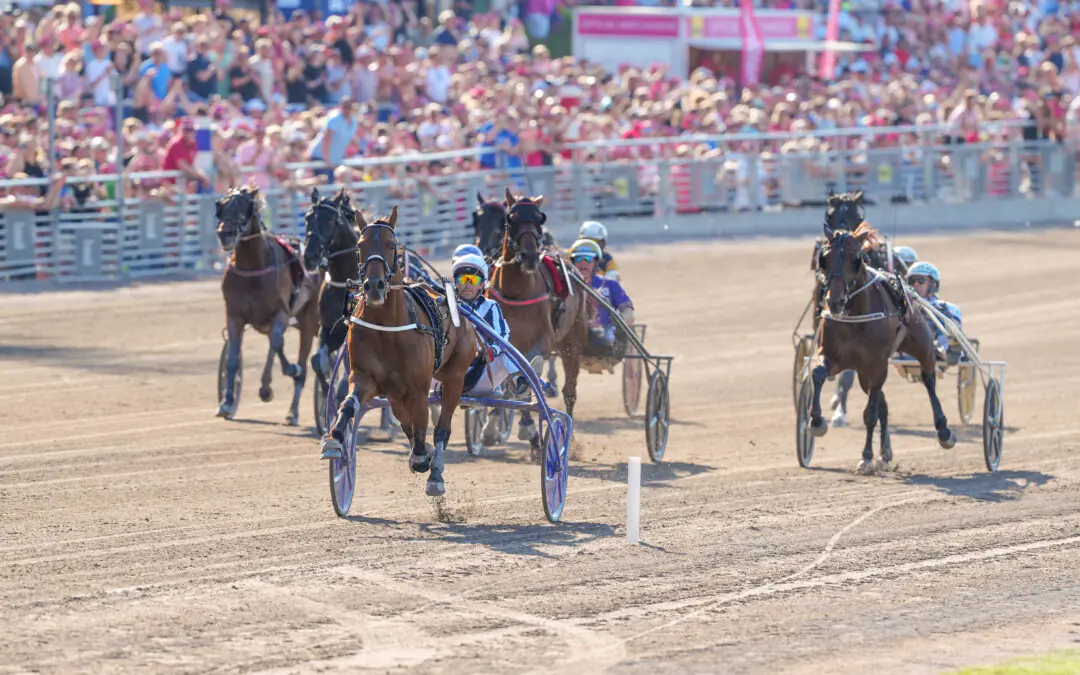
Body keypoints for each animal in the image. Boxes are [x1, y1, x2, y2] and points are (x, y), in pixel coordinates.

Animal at [214, 186, 319, 423]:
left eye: (242, 208)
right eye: (222, 206)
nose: (224, 234)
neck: (253, 267)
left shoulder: (281, 312)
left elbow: (279, 344)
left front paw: (291, 369)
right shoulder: (234, 316)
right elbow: (233, 358)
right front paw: (227, 402)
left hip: (308, 319)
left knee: (299, 360)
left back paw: (293, 411)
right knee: (272, 345)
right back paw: (265, 388)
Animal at [317, 205, 475, 494]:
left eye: (392, 246)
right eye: (360, 244)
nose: (373, 286)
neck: (386, 327)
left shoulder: (418, 389)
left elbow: (423, 426)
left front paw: (423, 459)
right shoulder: (365, 378)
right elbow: (348, 403)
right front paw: (334, 439)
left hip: (455, 376)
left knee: (442, 428)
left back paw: (435, 473)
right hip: (394, 393)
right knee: (405, 421)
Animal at [812, 194, 959, 470]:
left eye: (856, 258)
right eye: (824, 258)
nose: (834, 301)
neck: (855, 316)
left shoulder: (878, 363)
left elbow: (870, 413)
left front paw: (867, 456)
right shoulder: (834, 356)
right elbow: (817, 374)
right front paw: (817, 422)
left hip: (921, 344)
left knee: (928, 379)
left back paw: (943, 431)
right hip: (863, 372)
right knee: (880, 400)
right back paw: (886, 451)